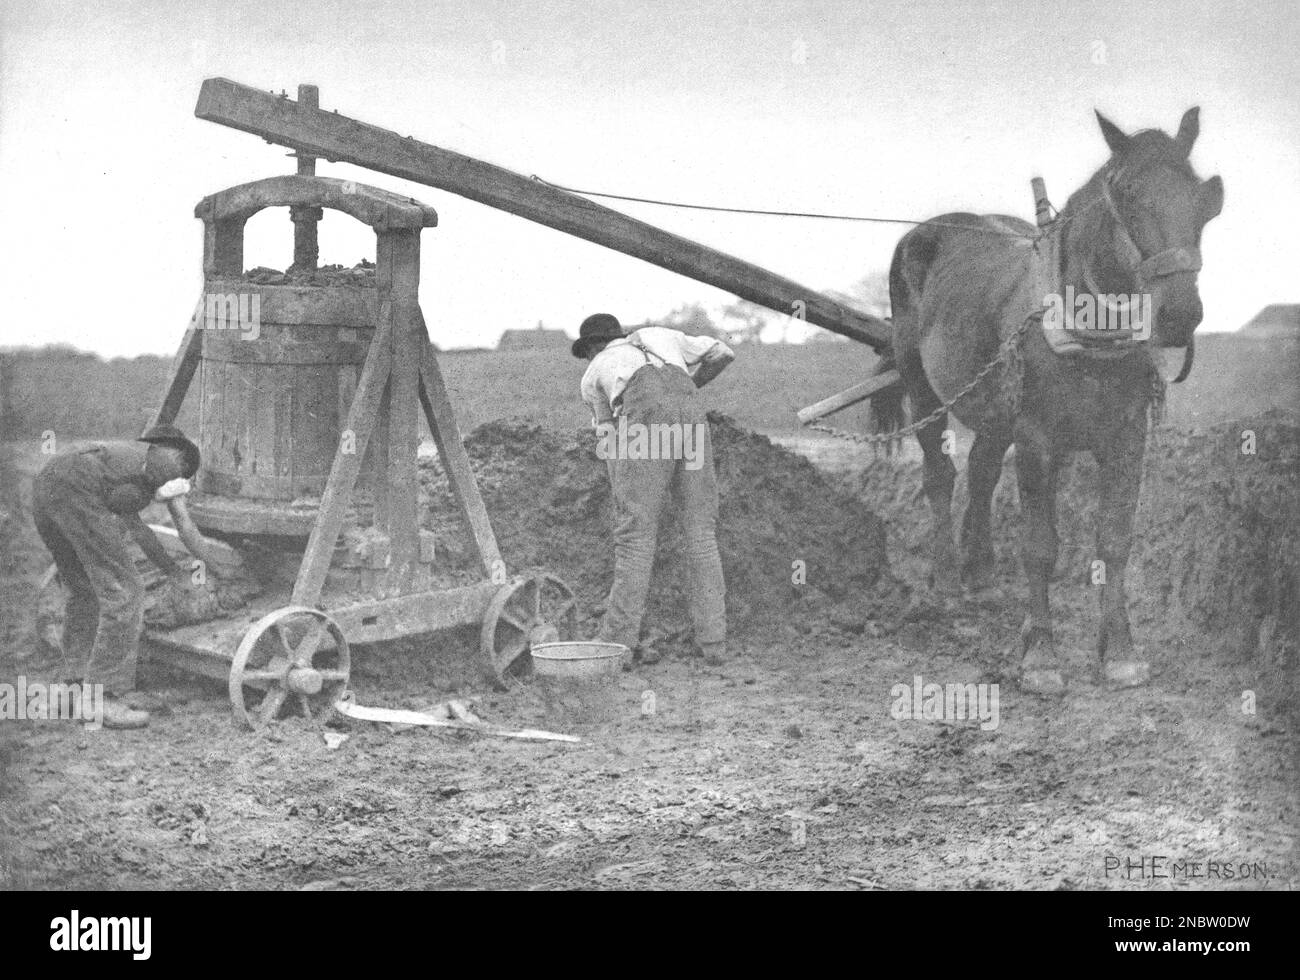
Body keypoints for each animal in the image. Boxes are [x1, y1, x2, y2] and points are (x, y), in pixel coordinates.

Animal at [878, 108, 1222, 696]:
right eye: (1128, 195)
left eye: (1203, 197)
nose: (1180, 314)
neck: (1088, 327)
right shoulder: (1037, 437)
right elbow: (1040, 543)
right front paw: (1040, 654)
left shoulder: (1128, 437)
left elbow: (1114, 539)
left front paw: (1120, 651)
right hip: (923, 385)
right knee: (940, 476)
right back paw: (946, 580)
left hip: (994, 404)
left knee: (983, 469)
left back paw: (982, 574)